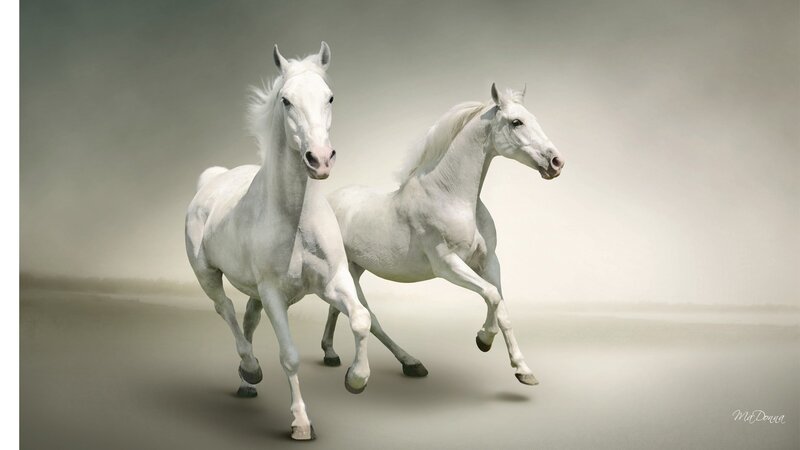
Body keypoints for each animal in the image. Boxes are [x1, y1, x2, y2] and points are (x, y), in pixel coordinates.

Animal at [185, 42, 371, 440]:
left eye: (330, 96)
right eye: (286, 100)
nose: (320, 159)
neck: (296, 219)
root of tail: (212, 180)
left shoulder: (332, 282)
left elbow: (361, 319)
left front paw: (356, 378)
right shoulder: (273, 294)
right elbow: (290, 356)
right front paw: (301, 423)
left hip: (253, 291)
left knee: (248, 318)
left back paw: (246, 381)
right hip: (207, 275)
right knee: (225, 309)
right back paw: (250, 368)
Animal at [320, 83, 564, 386]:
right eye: (516, 122)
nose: (556, 162)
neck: (451, 196)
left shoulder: (489, 261)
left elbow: (502, 307)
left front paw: (523, 370)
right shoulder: (447, 265)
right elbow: (492, 296)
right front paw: (483, 339)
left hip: (354, 268)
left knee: (338, 308)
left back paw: (332, 353)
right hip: (349, 272)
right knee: (368, 317)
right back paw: (406, 363)